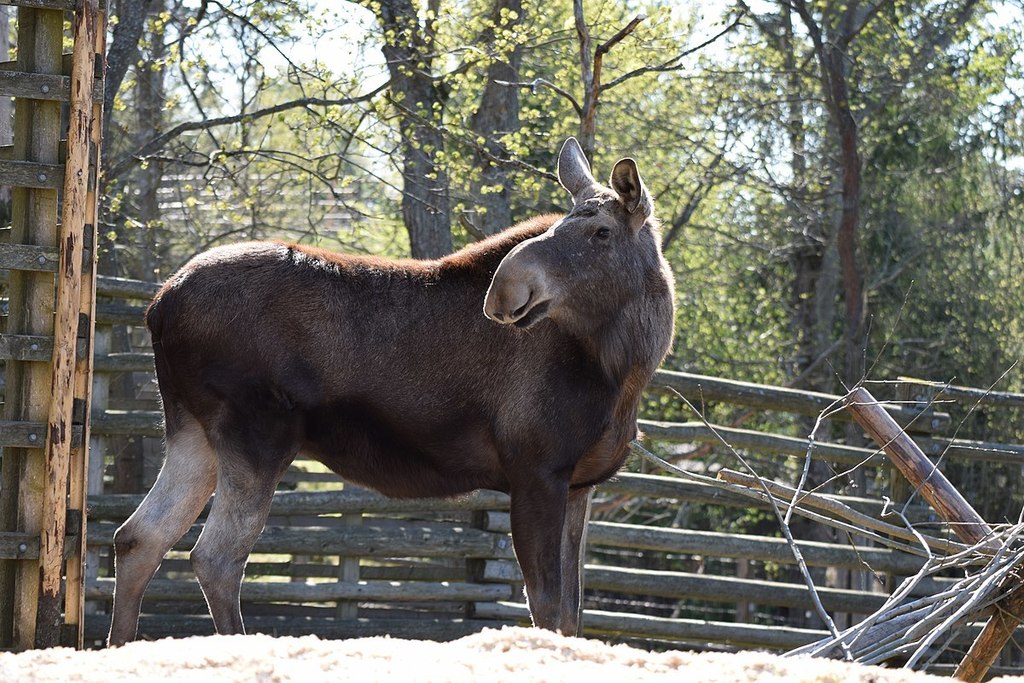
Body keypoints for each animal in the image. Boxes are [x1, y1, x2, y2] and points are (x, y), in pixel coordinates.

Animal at [107, 137, 675, 645]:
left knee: (138, 537)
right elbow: (548, 609)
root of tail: (158, 306)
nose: (504, 289)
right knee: (216, 556)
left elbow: (573, 613)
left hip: (192, 432)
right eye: (562, 224)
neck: (624, 370)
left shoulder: (581, 484)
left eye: (601, 231)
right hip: (257, 433)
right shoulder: (536, 470)